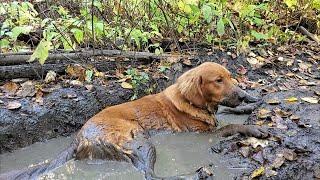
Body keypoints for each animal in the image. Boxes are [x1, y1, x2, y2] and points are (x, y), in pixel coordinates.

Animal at [0, 62, 268, 180]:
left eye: (231, 77)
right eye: (218, 81)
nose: (242, 94)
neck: (191, 103)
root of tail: (78, 139)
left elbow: (227, 114)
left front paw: (252, 103)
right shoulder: (199, 135)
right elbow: (231, 124)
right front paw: (254, 128)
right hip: (141, 140)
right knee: (149, 175)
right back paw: (193, 175)